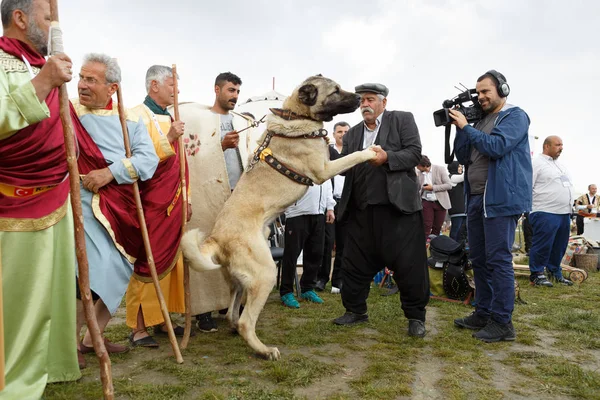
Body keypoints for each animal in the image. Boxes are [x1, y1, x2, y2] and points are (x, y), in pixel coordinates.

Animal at [180, 75, 382, 360]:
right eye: (334, 91)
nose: (359, 98)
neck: (296, 115)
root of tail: (217, 238)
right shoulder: (324, 169)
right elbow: (352, 156)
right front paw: (371, 151)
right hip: (265, 274)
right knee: (245, 321)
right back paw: (265, 350)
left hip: (241, 279)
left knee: (232, 313)